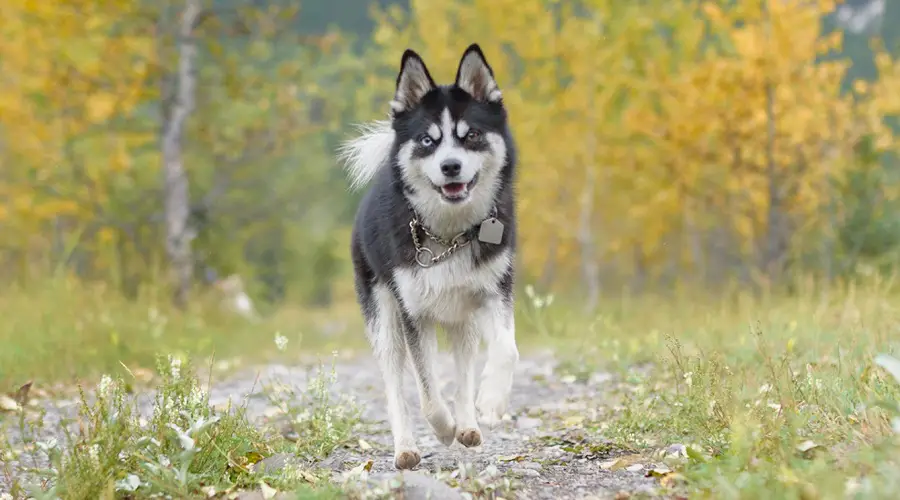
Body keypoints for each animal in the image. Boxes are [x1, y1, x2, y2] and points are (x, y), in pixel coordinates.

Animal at [338, 43, 520, 468]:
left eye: (471, 135)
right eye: (426, 140)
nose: (450, 166)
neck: (449, 232)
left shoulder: (495, 292)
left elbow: (507, 349)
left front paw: (491, 402)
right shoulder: (413, 315)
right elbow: (426, 391)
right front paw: (442, 428)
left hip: (463, 319)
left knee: (464, 371)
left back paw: (468, 423)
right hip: (384, 319)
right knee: (396, 386)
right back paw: (407, 446)